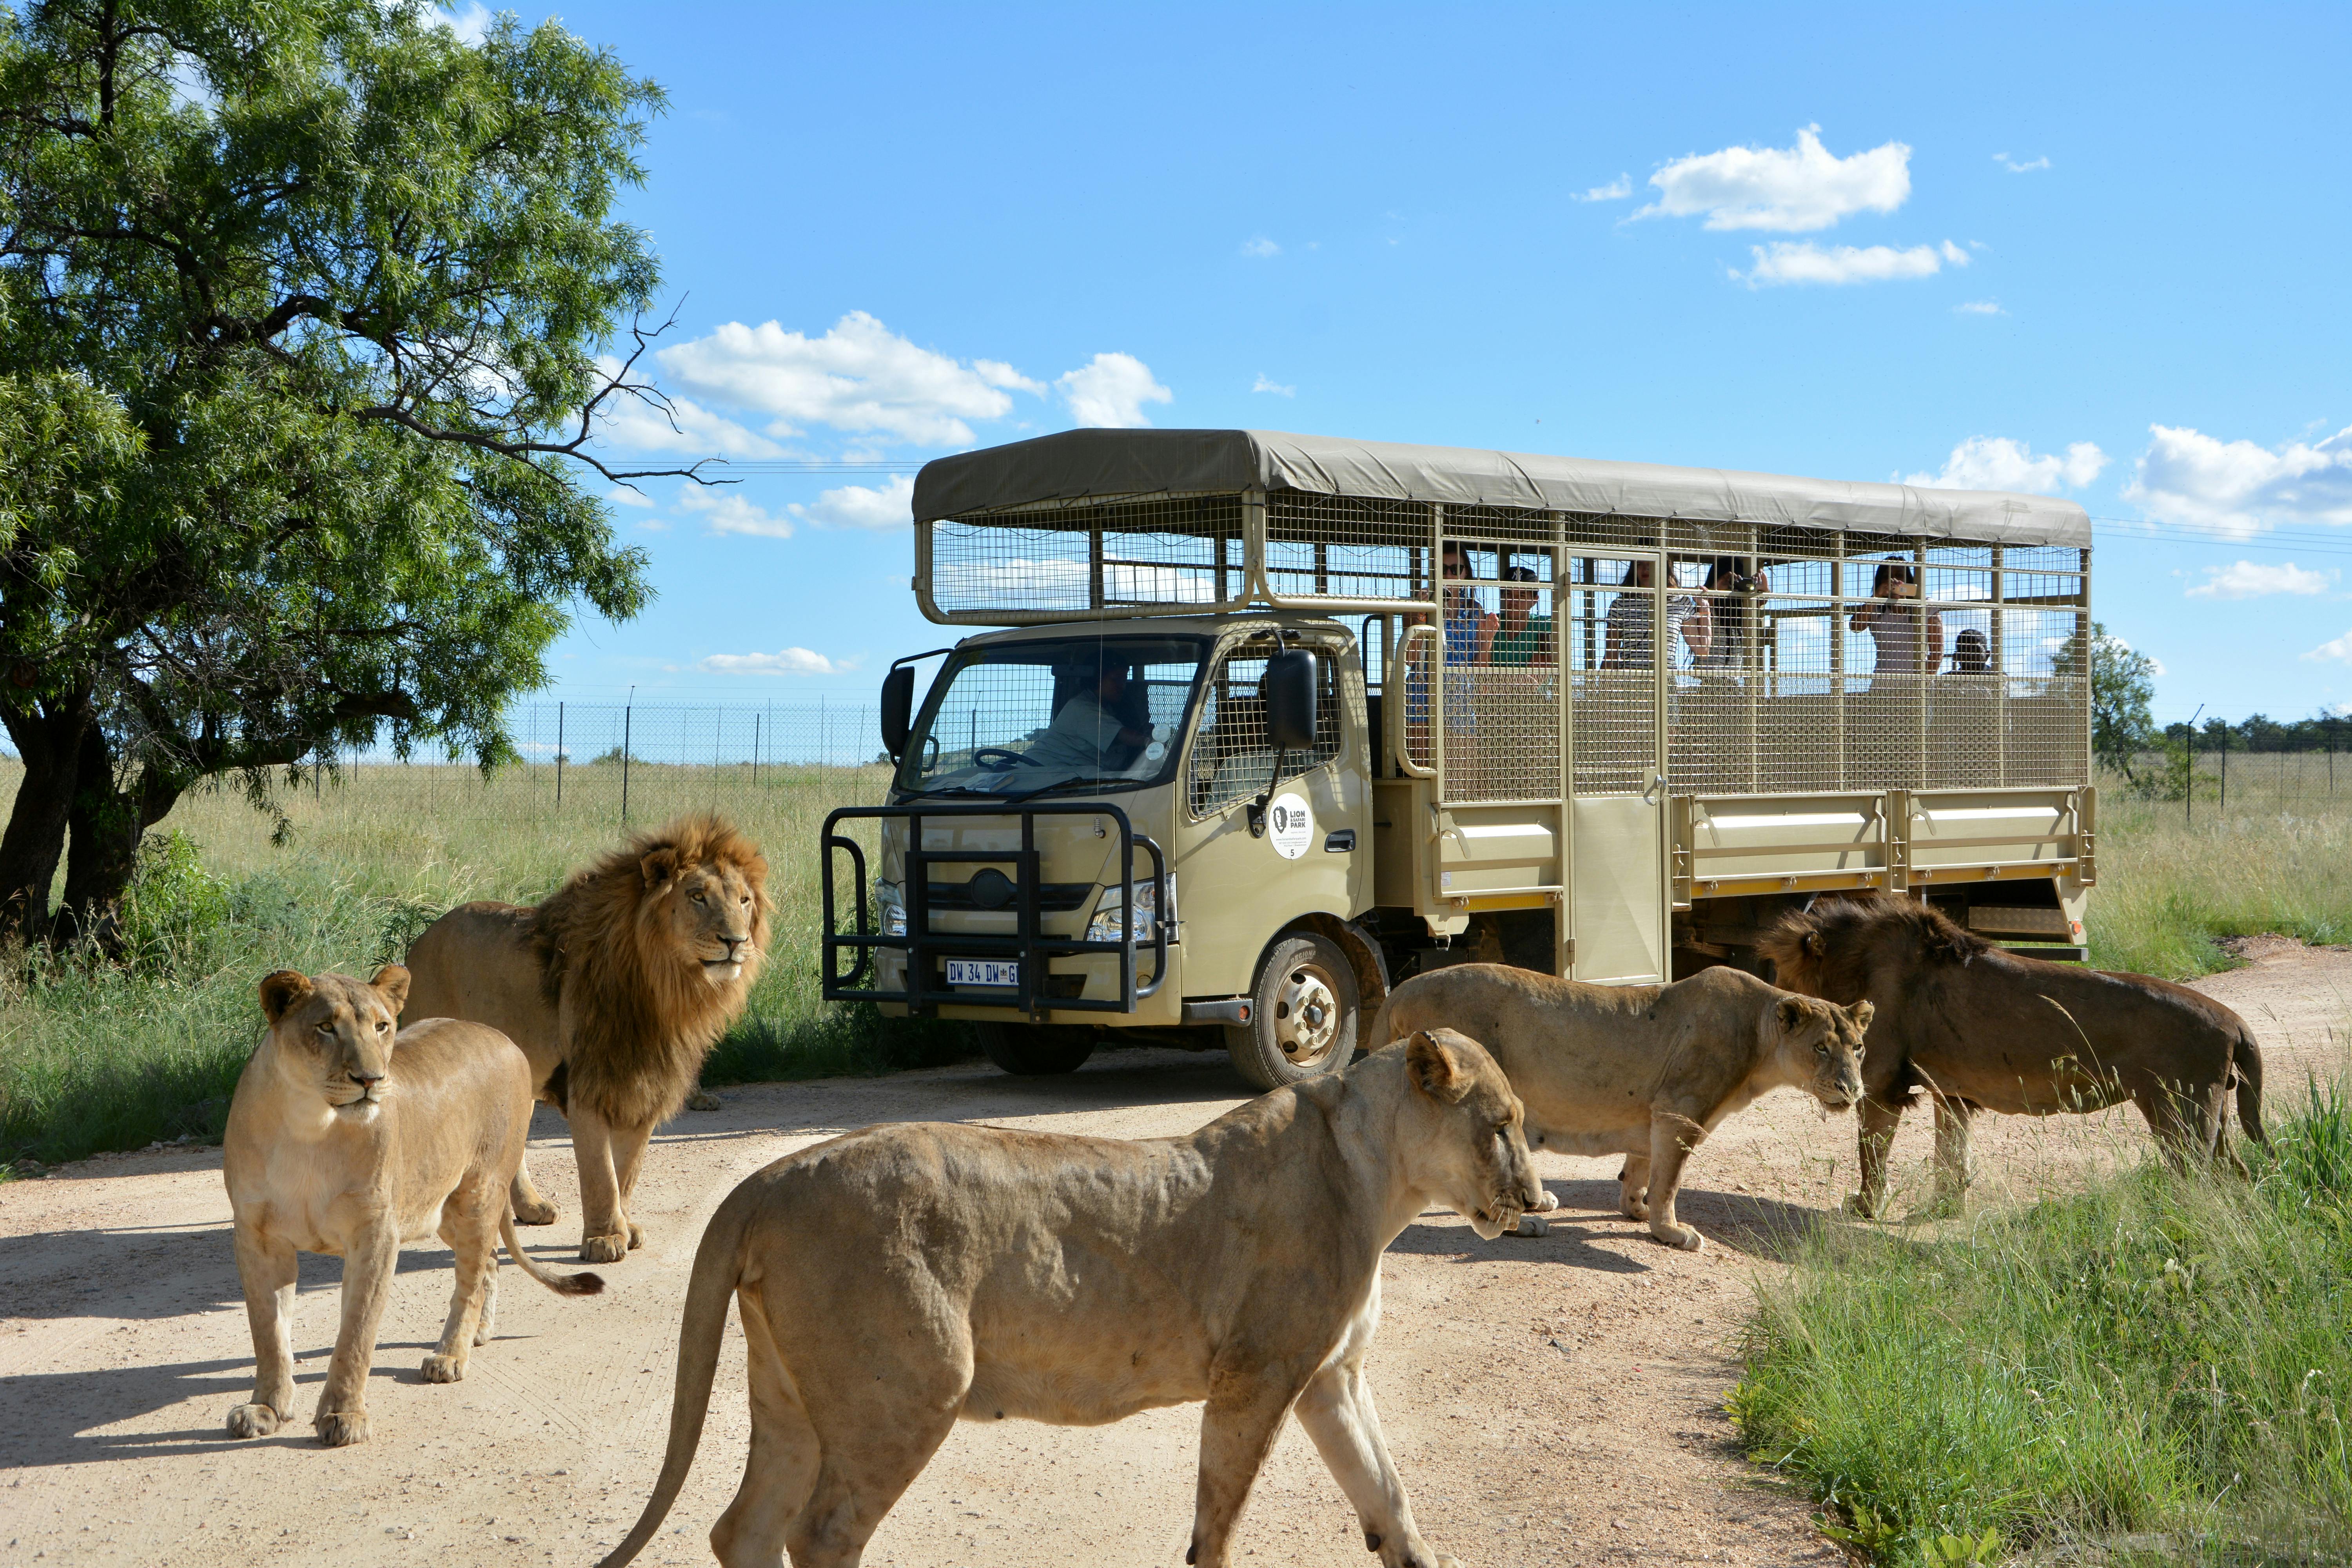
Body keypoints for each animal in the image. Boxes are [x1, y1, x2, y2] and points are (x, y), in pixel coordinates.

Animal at [402, 818, 771, 1269]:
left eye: (744, 901)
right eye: (698, 896)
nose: (736, 942)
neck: (665, 990)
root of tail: (419, 942)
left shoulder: (646, 1084)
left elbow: (628, 1170)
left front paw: (625, 1227)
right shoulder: (589, 1084)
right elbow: (601, 1172)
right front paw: (604, 1238)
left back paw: (530, 1208)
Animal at [597, 1029, 1534, 1568]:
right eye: (1503, 1126)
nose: (1535, 1200)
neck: (1379, 1178)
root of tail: (767, 1178)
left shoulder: (1331, 1377)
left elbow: (1390, 1497)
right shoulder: (1256, 1376)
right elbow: (1219, 1525)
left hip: (789, 1395)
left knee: (745, 1530)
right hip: (909, 1389)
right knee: (819, 1534)